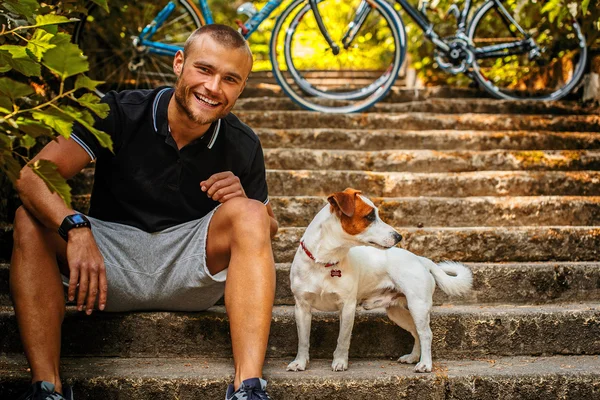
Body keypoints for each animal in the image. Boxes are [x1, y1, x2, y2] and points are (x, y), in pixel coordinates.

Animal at [288, 188, 474, 372]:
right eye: (370, 216)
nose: (399, 236)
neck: (325, 261)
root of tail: (420, 259)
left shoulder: (347, 307)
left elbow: (343, 339)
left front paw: (340, 362)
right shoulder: (302, 308)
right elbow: (303, 340)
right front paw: (300, 362)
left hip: (418, 306)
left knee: (426, 334)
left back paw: (425, 364)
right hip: (397, 312)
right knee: (416, 332)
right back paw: (413, 357)